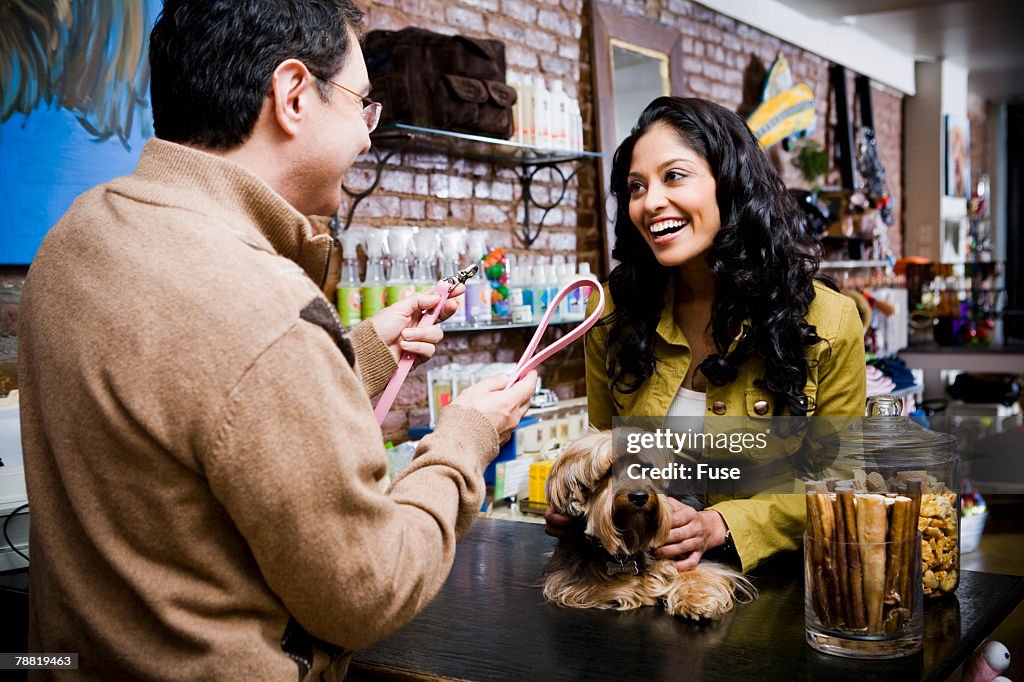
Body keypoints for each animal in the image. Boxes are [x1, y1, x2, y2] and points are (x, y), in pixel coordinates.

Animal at [544, 432, 753, 618]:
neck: (631, 533)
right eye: (609, 470)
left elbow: (697, 574)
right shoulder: (571, 581)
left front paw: (696, 600)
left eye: (646, 468)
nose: (639, 497)